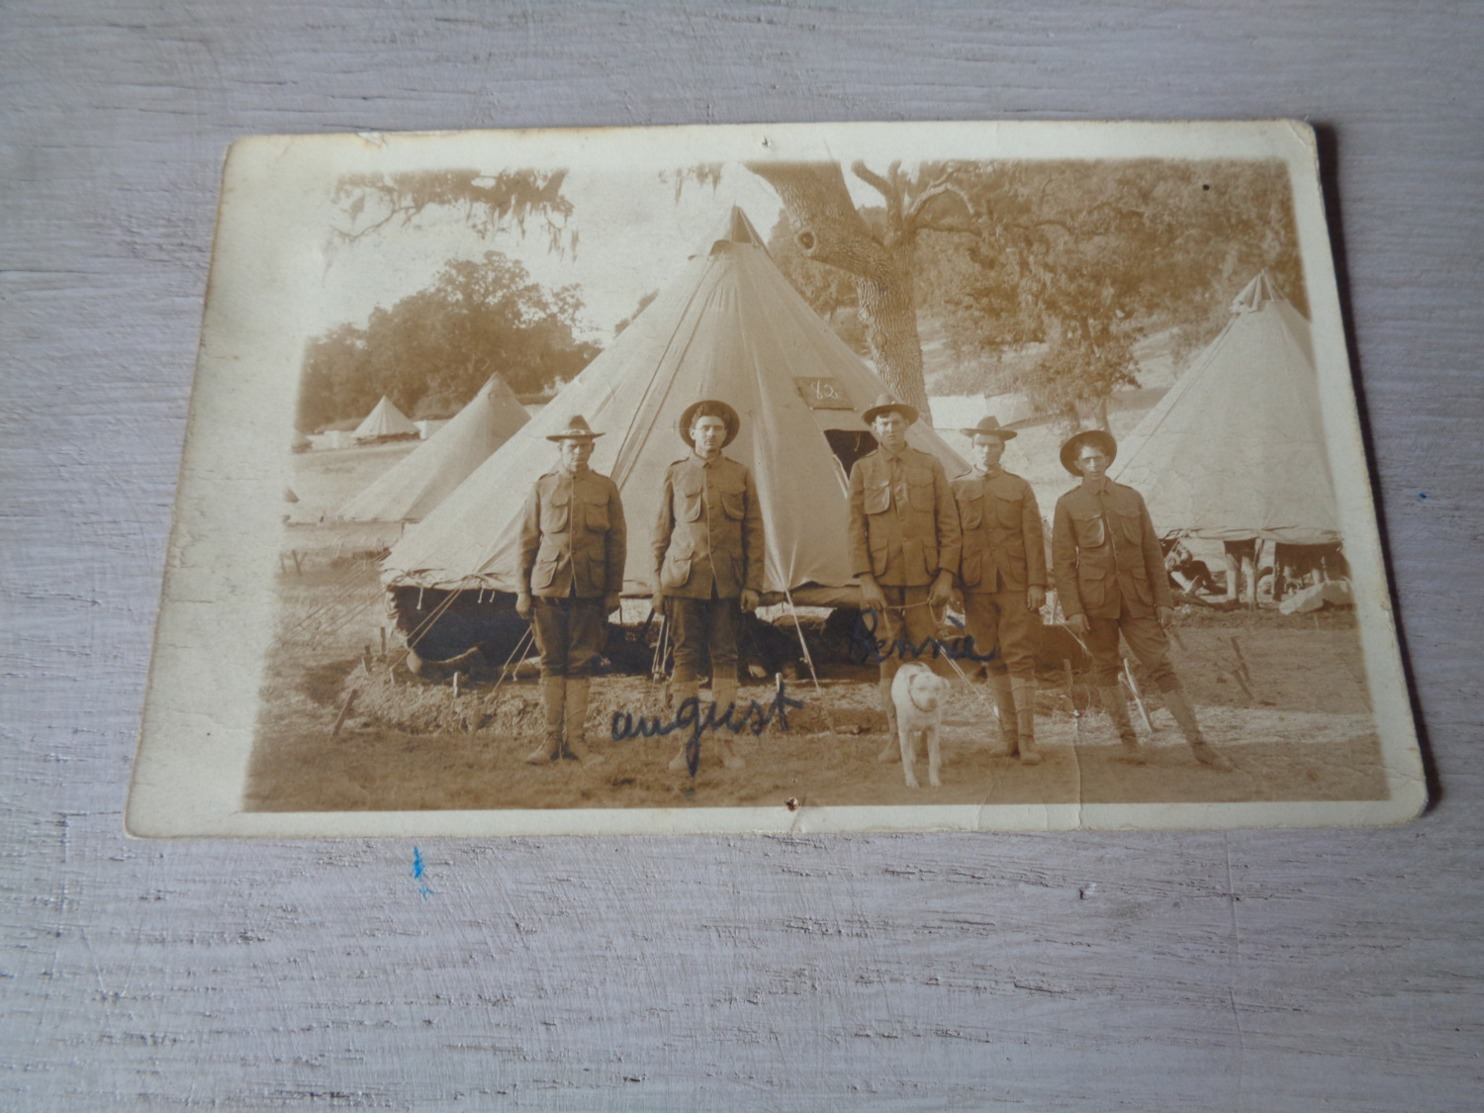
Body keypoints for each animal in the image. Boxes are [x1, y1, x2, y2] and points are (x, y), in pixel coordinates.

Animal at [890, 658, 949, 789]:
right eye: (921, 688)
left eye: (937, 688)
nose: (932, 700)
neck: (921, 710)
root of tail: (912, 662)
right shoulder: (904, 733)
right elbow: (907, 762)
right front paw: (911, 781)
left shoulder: (933, 731)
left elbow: (932, 759)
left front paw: (934, 779)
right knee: (911, 738)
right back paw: (912, 756)